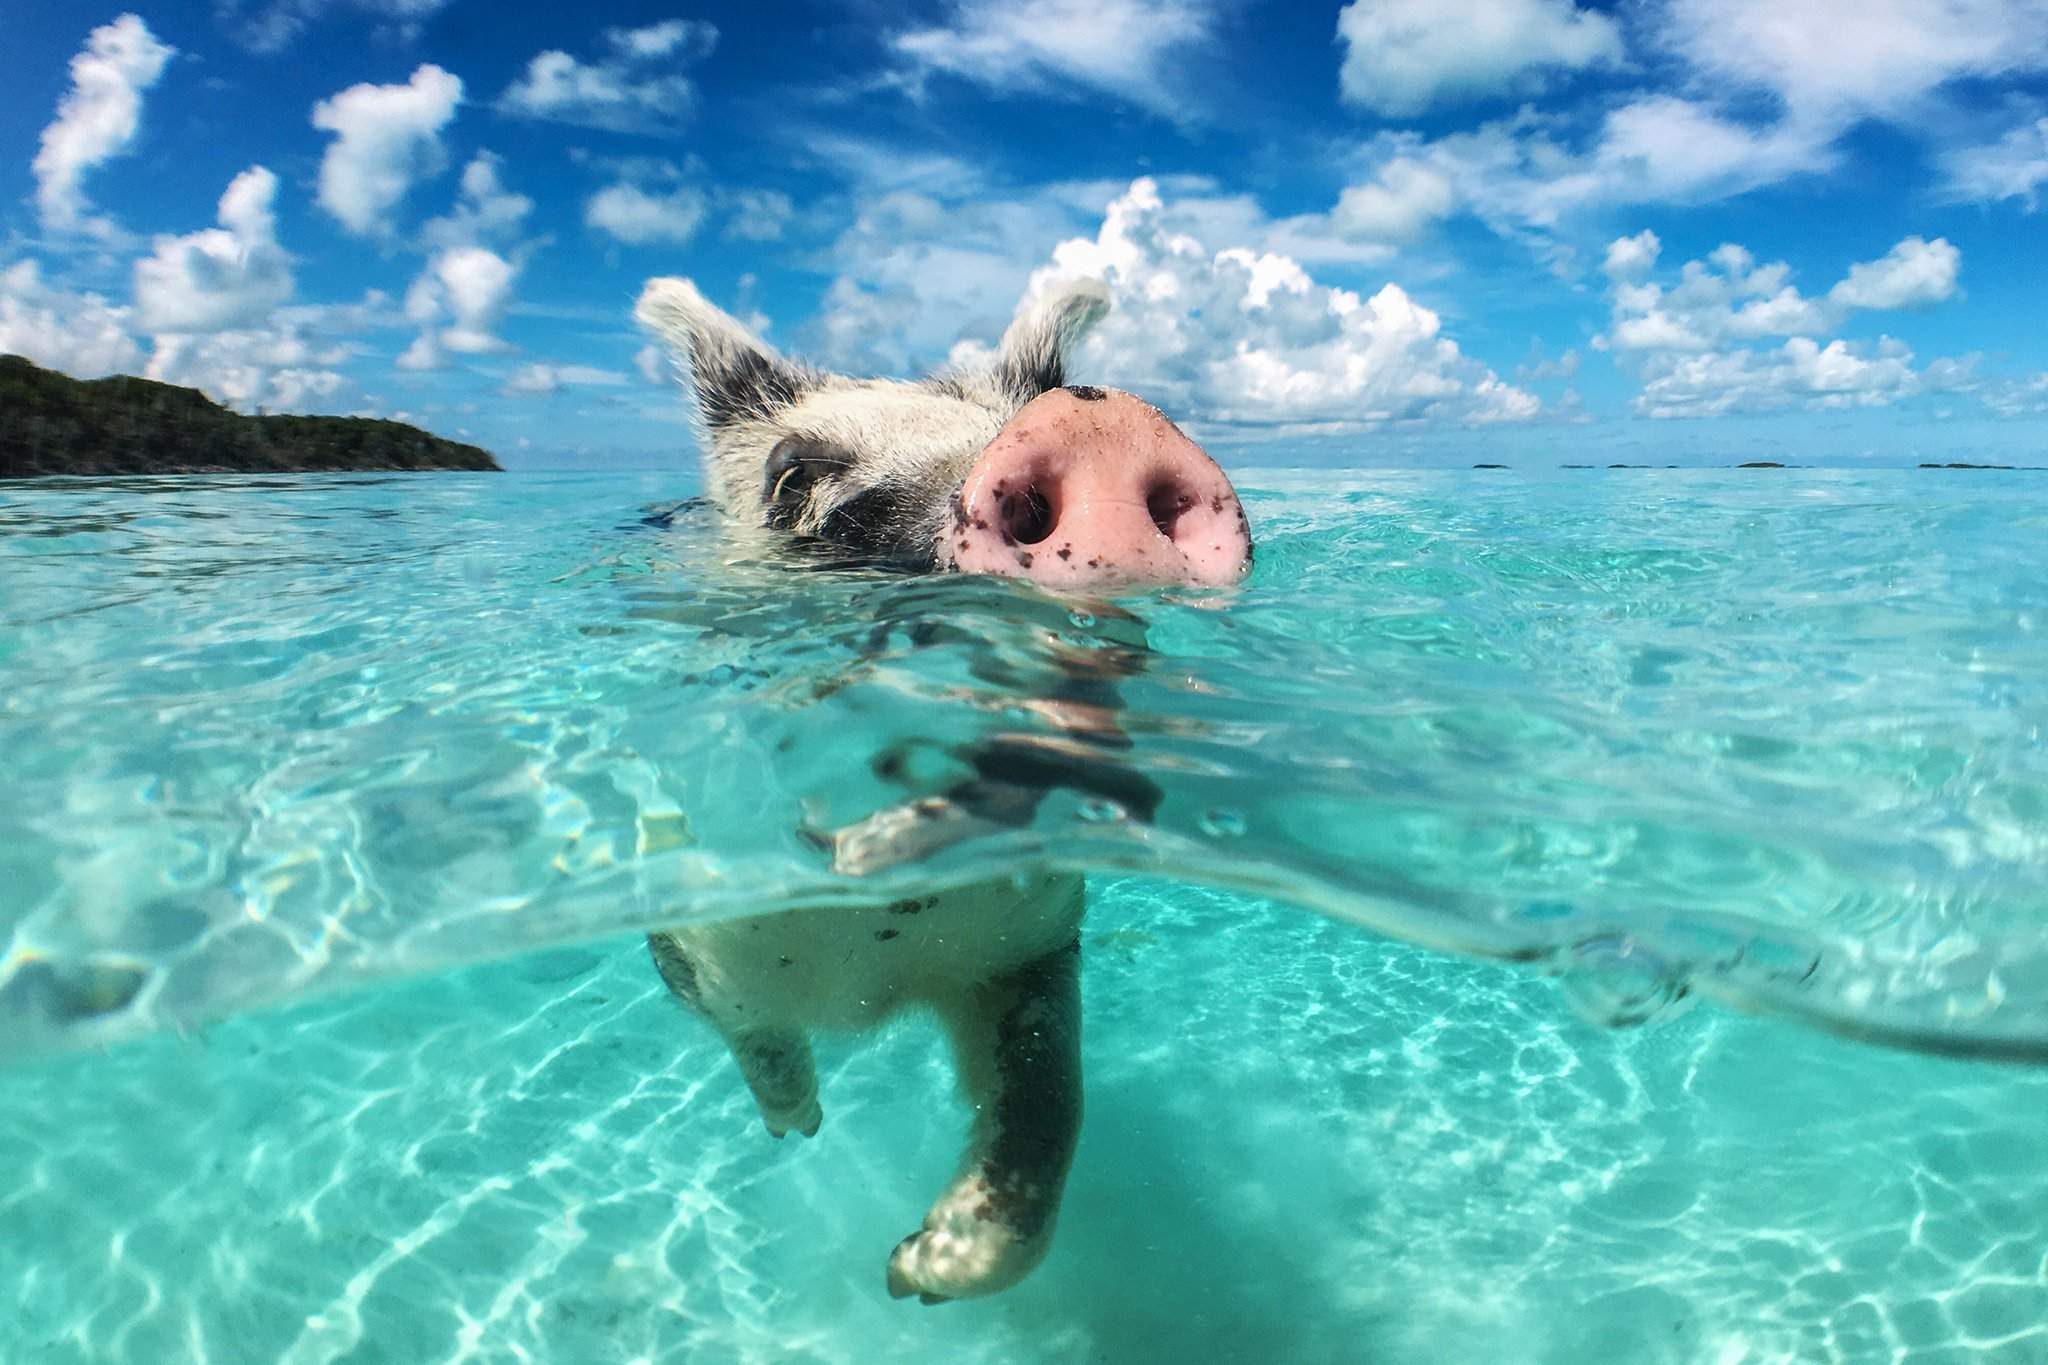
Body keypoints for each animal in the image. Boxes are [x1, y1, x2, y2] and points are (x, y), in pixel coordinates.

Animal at [634, 274, 1245, 1301]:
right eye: (791, 480)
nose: (1100, 423)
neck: (869, 962)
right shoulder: (690, 929)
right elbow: (752, 1031)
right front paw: (799, 1128)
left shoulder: (1032, 945)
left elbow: (1051, 1097)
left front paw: (913, 1270)